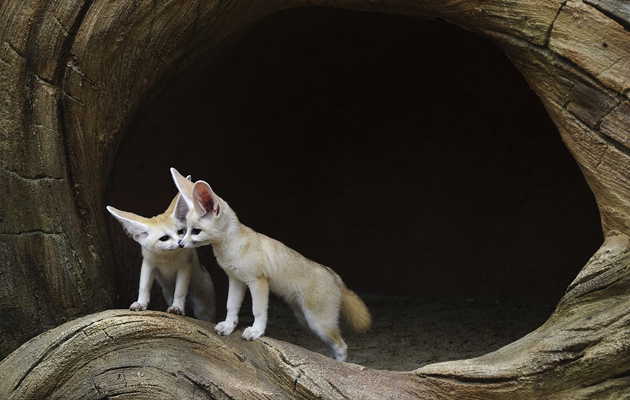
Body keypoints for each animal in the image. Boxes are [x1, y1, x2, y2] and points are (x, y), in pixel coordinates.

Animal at [107, 189, 216, 324]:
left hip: (202, 307)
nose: (180, 242)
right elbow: (143, 286)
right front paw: (140, 303)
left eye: (180, 231)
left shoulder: (185, 266)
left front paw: (177, 307)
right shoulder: (148, 264)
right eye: (164, 238)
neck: (166, 258)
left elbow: (180, 291)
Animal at [170, 167, 372, 360]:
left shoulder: (257, 281)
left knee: (341, 346)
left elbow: (258, 310)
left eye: (196, 231)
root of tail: (334, 274)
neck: (233, 246)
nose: (180, 244)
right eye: (185, 229)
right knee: (332, 347)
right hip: (307, 321)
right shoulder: (236, 279)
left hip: (318, 322)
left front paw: (256, 331)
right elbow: (231, 306)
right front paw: (228, 326)